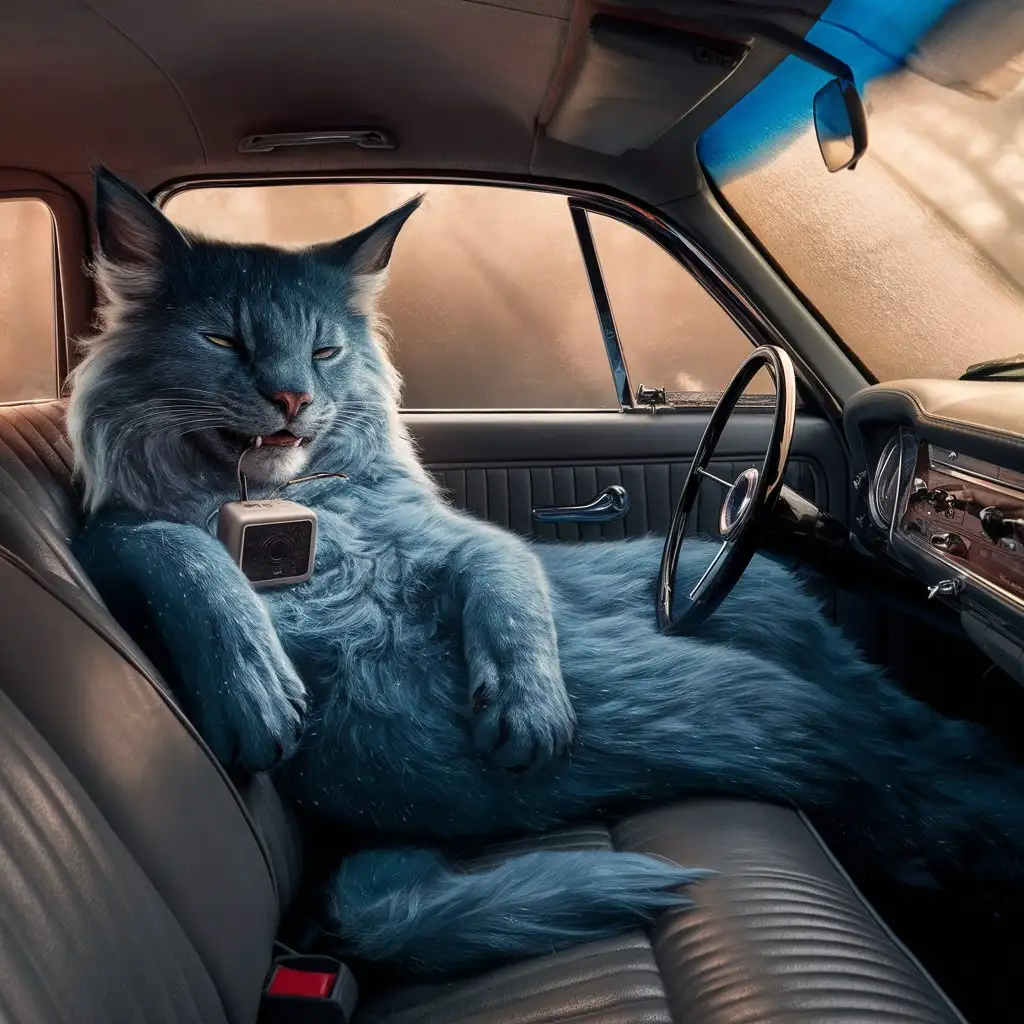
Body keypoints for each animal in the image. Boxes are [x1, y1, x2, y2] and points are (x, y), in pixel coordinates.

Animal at [72, 167, 1024, 974]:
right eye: (223, 339)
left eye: (325, 353)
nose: (293, 400)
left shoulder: (468, 544)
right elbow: (177, 550)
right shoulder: (110, 536)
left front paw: (528, 706)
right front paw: (253, 684)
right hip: (750, 698)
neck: (300, 505)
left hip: (750, 608)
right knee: (901, 770)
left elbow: (509, 586)